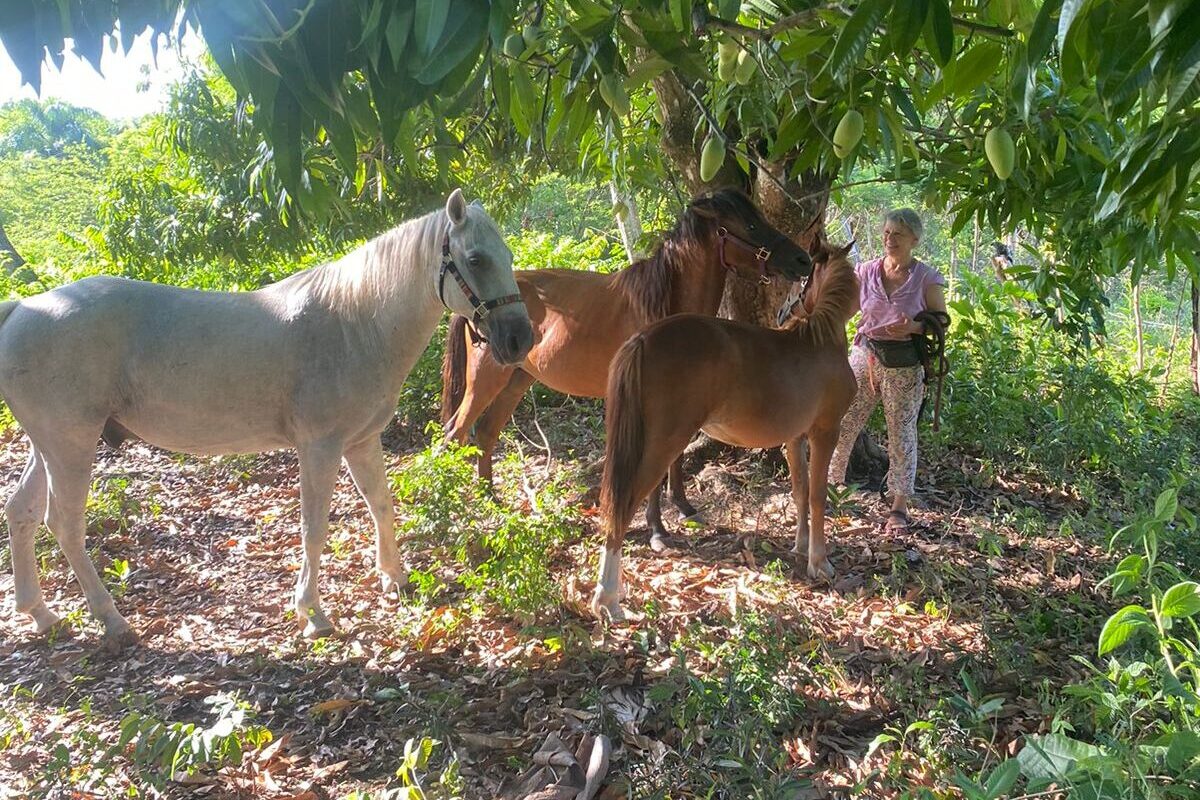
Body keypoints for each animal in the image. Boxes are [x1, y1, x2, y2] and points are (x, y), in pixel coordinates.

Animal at [0, 189, 533, 645]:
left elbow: (380, 504)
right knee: (64, 523)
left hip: (47, 446)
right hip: (71, 445)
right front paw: (313, 612)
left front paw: (395, 578)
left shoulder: (362, 441)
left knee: (22, 511)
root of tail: (23, 308)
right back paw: (111, 619)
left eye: (507, 256)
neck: (355, 324)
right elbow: (314, 526)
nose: (520, 340)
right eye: (476, 259)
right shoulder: (320, 447)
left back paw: (41, 614)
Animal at [440, 189, 813, 544]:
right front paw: (657, 527)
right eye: (750, 225)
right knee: (456, 433)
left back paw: (491, 500)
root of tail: (476, 305)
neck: (664, 306)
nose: (803, 260)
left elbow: (675, 457)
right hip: (485, 380)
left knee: (485, 434)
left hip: (516, 381)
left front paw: (684, 506)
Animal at [591, 242, 859, 620]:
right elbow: (819, 495)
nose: (782, 313)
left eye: (802, 281)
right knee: (622, 505)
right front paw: (819, 563)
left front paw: (800, 546)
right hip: (663, 444)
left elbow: (801, 491)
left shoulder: (796, 439)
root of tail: (644, 338)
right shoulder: (826, 432)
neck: (819, 340)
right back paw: (608, 600)